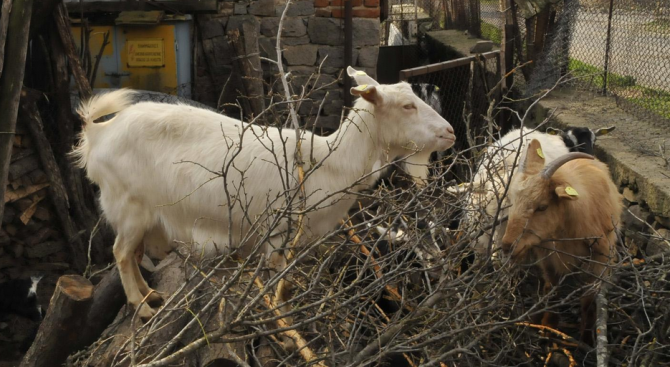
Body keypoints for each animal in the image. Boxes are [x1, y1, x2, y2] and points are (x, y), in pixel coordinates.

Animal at [71, 66, 456, 320]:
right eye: (407, 106)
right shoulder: (277, 234)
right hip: (129, 206)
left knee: (133, 255)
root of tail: (97, 133)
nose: (450, 132)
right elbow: (278, 280)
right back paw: (143, 307)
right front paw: (283, 318)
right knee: (121, 254)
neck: (329, 162)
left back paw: (151, 294)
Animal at [504, 139, 624, 346]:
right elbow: (553, 290)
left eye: (542, 207)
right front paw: (548, 327)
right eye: (511, 200)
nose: (507, 246)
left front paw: (587, 340)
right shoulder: (548, 259)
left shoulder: (599, 262)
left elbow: (588, 302)